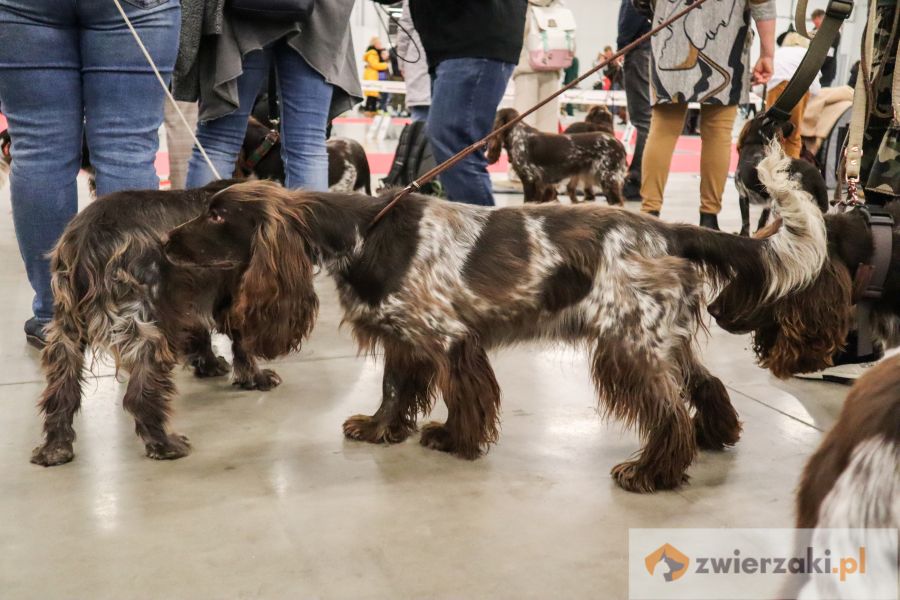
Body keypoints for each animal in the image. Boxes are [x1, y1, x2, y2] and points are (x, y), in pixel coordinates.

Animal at [32, 180, 288, 466]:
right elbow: (242, 344)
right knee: (139, 397)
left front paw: (209, 365)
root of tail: (87, 241)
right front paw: (256, 378)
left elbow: (200, 334)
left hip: (67, 330)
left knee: (62, 391)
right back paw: (165, 444)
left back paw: (55, 448)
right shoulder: (232, 296)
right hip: (146, 329)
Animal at [165, 144, 828, 492]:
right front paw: (381, 429)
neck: (363, 234)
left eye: (218, 216)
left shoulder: (448, 340)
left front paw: (454, 441)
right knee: (707, 385)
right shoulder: (405, 340)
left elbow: (463, 397)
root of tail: (667, 230)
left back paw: (651, 471)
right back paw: (716, 437)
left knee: (666, 412)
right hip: (665, 338)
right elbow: (394, 390)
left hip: (630, 344)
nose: (167, 241)